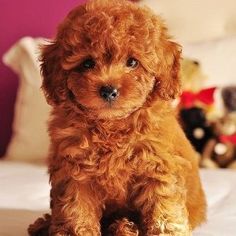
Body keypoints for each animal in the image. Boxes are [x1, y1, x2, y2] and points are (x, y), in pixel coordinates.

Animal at [28, 0, 206, 235]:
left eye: (132, 62)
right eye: (87, 63)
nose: (108, 90)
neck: (112, 126)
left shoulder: (159, 166)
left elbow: (163, 206)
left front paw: (166, 231)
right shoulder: (74, 170)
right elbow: (75, 207)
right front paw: (74, 231)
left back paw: (124, 226)